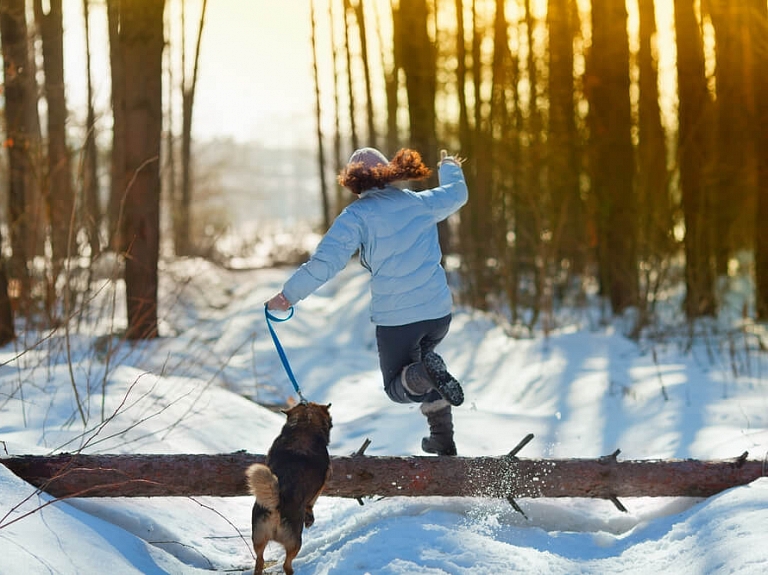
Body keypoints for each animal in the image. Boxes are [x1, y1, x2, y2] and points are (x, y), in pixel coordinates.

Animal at [244, 402, 332, 575]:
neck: (304, 425)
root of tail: (277, 506)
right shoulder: (321, 484)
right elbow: (312, 502)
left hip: (258, 536)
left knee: (259, 561)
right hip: (295, 541)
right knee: (286, 565)